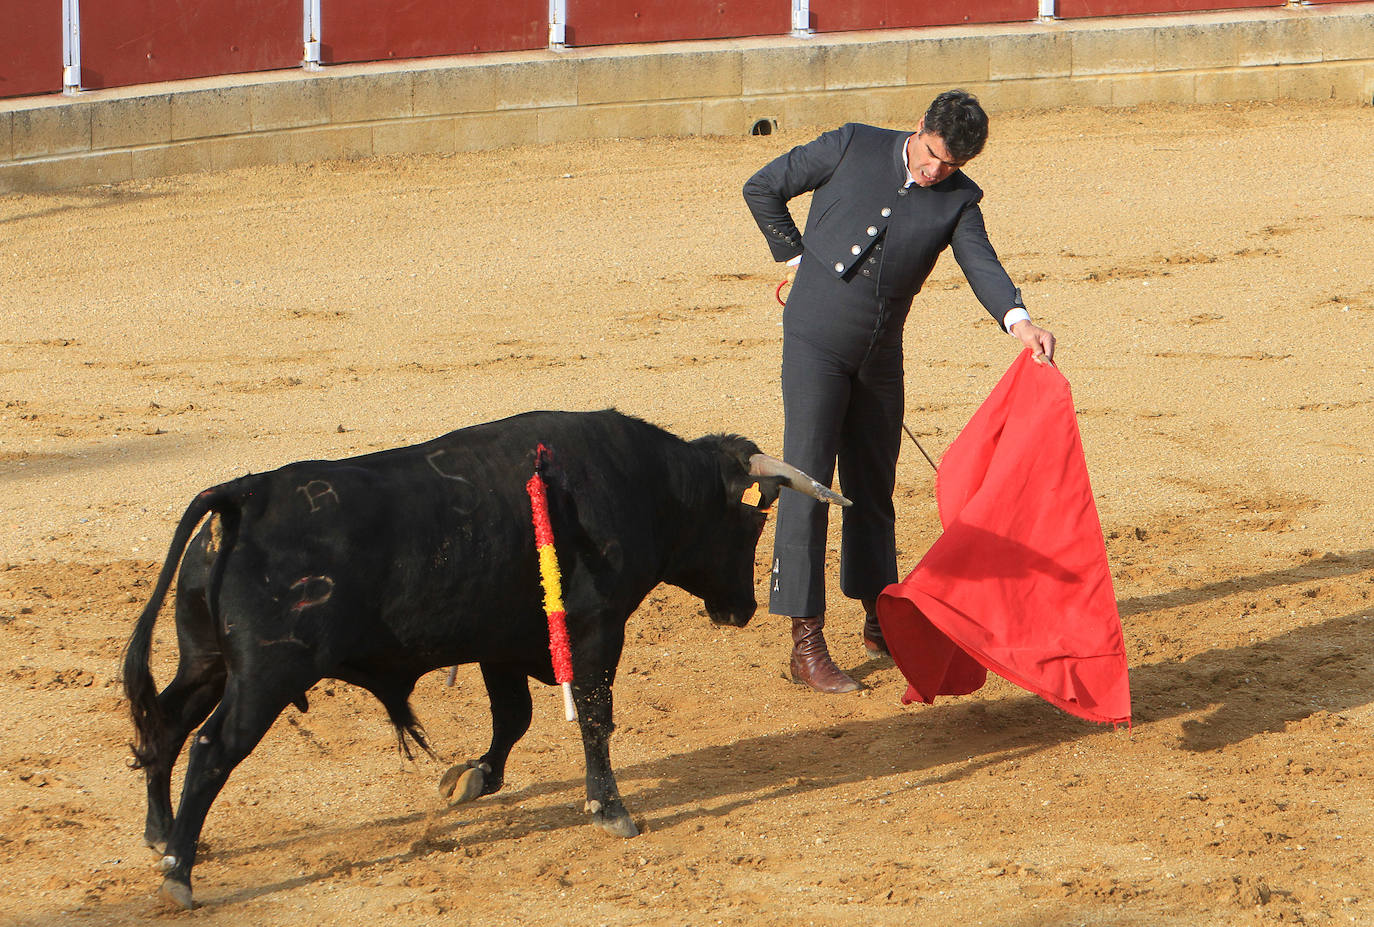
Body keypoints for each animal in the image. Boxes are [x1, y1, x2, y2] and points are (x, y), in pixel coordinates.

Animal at [120, 409, 846, 911]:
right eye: (752, 522)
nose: (742, 608)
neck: (645, 485)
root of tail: (245, 494)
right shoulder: (595, 630)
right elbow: (593, 716)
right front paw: (610, 809)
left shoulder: (502, 642)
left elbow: (514, 717)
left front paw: (473, 777)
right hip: (267, 675)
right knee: (211, 747)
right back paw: (180, 874)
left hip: (208, 660)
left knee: (166, 725)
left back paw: (160, 833)